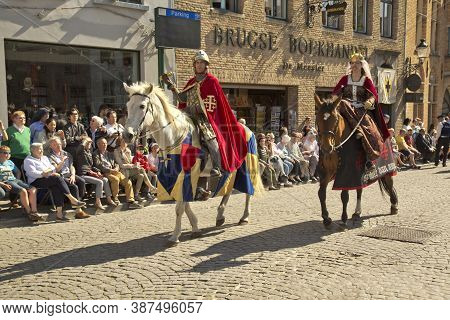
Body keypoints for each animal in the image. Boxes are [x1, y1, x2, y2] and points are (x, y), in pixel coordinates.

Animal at [125, 82, 262, 245]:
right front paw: (195, 227)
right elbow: (184, 204)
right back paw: (220, 215)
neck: (174, 136)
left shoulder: (188, 174)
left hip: (247, 165)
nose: (127, 135)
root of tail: (246, 127)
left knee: (248, 191)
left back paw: (244, 217)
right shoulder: (178, 177)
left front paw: (175, 236)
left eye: (142, 106)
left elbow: (180, 207)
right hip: (232, 169)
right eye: (128, 106)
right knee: (228, 189)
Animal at [314, 95, 400, 228]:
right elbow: (321, 193)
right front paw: (326, 218)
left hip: (386, 167)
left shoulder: (346, 172)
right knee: (360, 189)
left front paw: (343, 219)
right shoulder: (327, 172)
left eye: (335, 119)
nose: (327, 147)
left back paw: (394, 205)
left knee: (389, 183)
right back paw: (357, 212)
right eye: (318, 119)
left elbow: (344, 196)